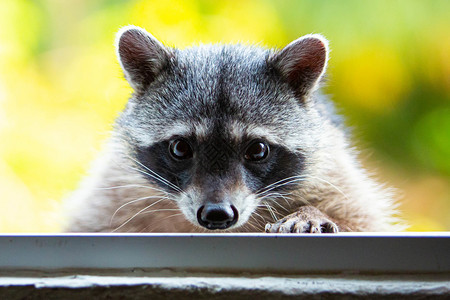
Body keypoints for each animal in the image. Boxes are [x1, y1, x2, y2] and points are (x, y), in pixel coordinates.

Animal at [62, 25, 400, 233]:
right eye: (180, 148)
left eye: (258, 150)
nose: (217, 214)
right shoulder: (116, 182)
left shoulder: (332, 167)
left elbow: (363, 217)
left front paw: (313, 214)